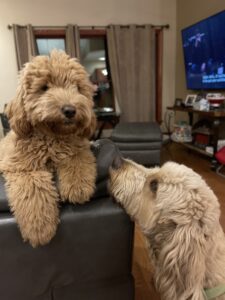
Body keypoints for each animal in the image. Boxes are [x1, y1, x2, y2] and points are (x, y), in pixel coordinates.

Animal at [0, 51, 96, 247]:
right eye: (44, 87)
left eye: (77, 88)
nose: (70, 110)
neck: (52, 137)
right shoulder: (22, 168)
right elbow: (33, 189)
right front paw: (39, 229)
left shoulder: (78, 147)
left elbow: (77, 158)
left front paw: (78, 187)